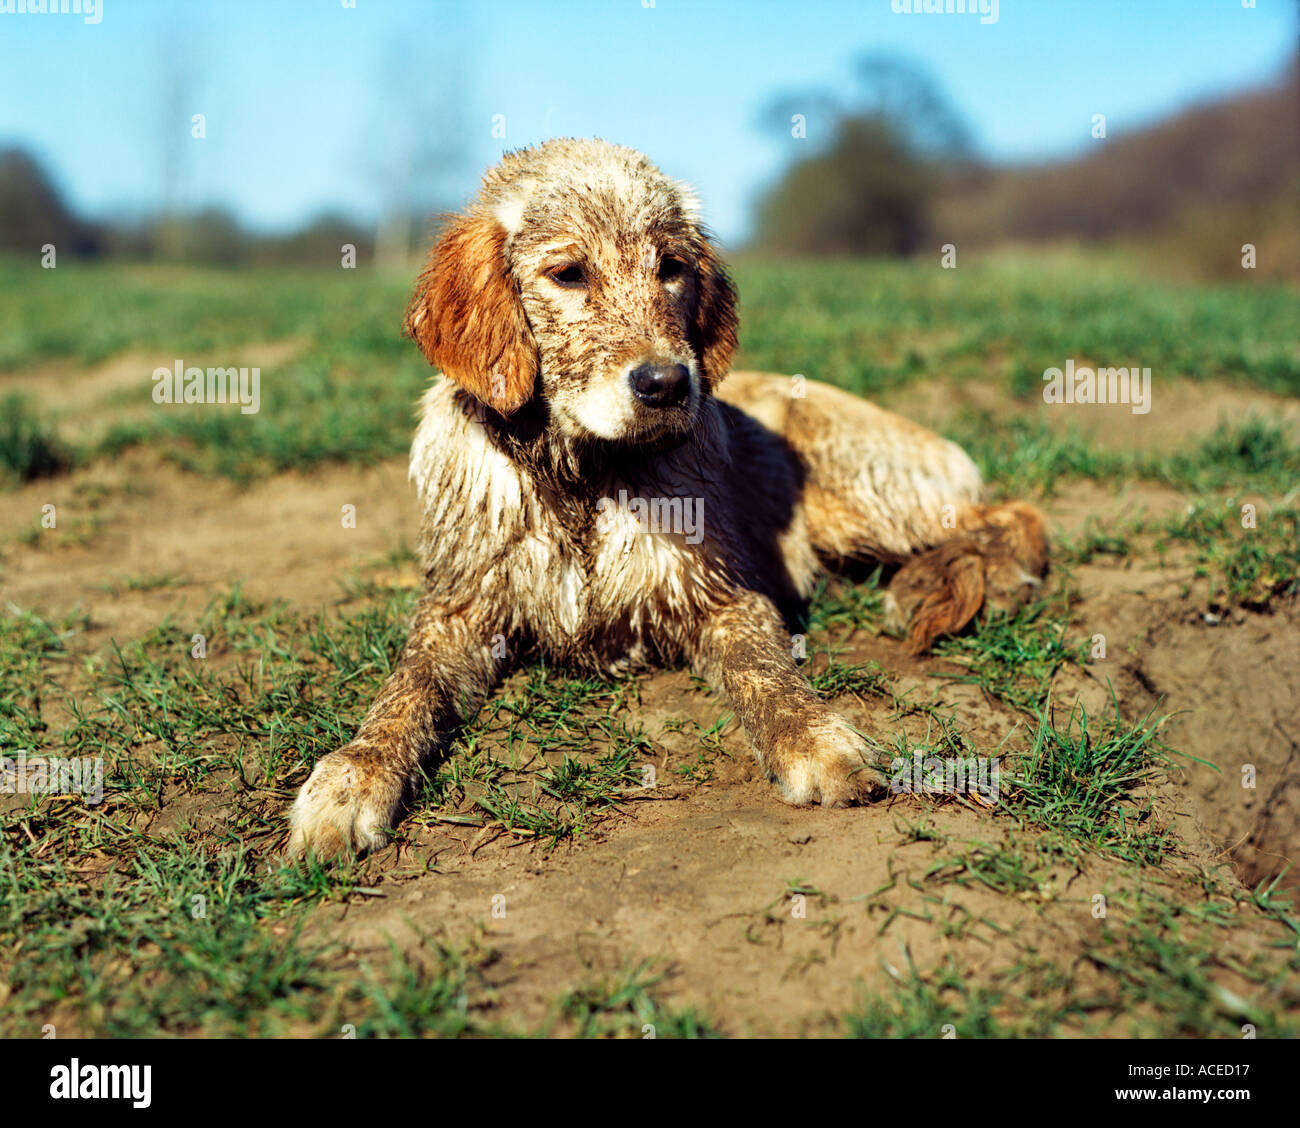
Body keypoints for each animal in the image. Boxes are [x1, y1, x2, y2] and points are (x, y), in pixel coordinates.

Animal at [289, 142, 1050, 862]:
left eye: (671, 268)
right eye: (569, 273)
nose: (666, 383)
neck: (582, 480)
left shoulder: (724, 595)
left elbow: (766, 674)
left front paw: (816, 739)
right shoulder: (457, 611)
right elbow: (404, 690)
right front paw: (353, 775)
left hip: (856, 498)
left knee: (1015, 515)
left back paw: (958, 581)